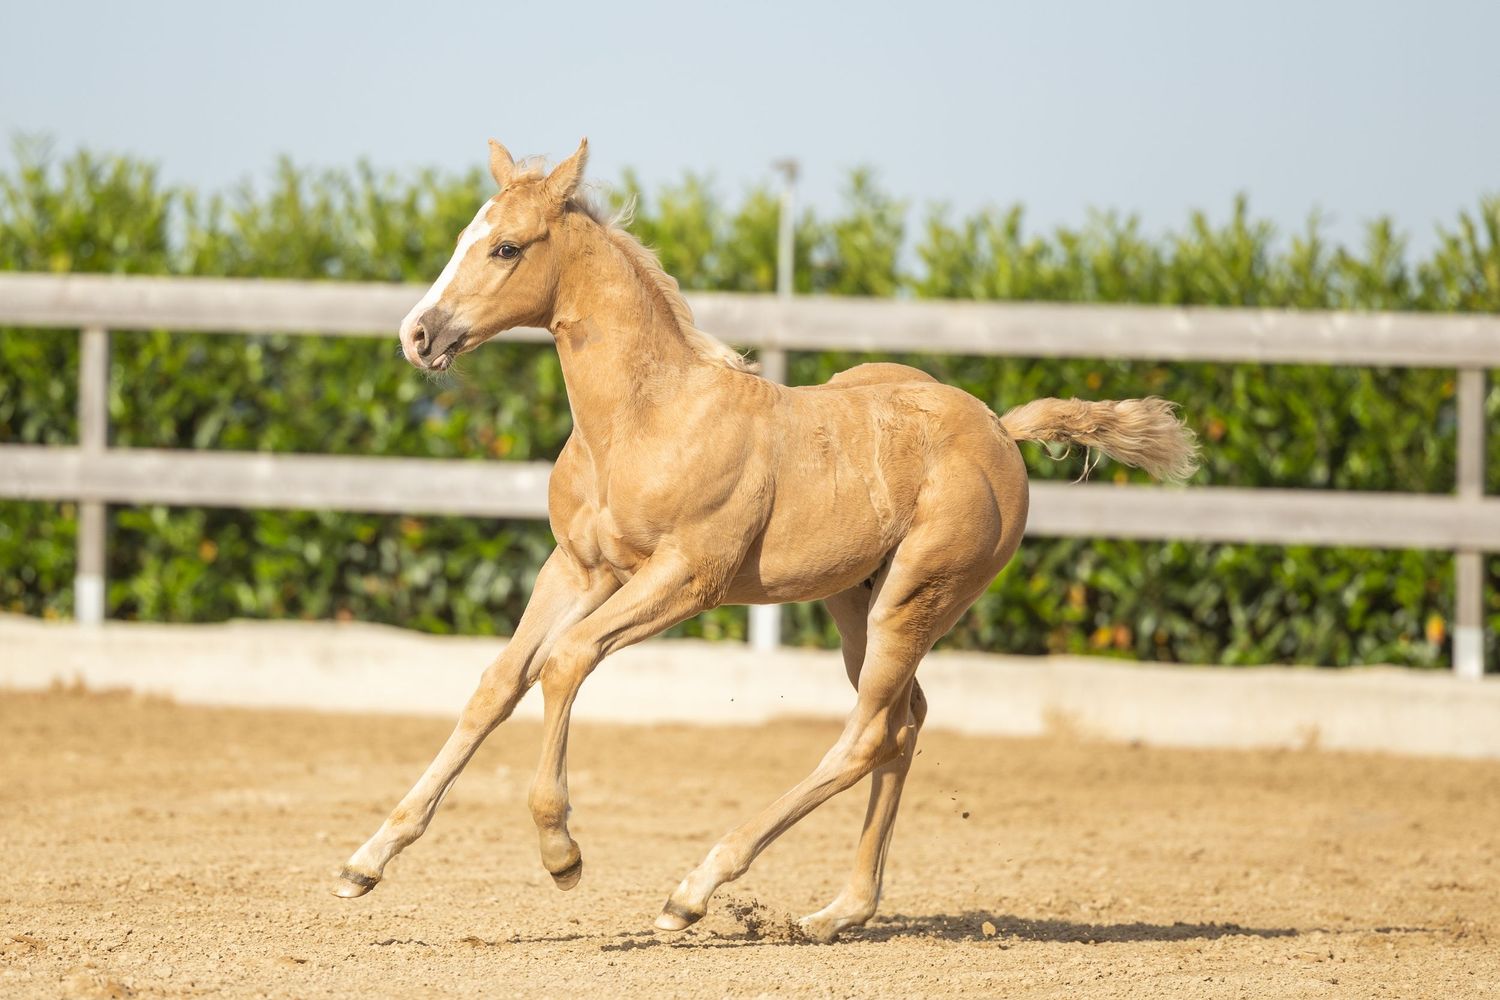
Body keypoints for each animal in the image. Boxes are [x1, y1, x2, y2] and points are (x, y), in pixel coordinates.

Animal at [332, 138, 1199, 942]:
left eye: (507, 247)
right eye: (463, 236)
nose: (418, 334)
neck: (646, 417)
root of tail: (998, 427)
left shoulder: (686, 577)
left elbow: (566, 661)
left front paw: (561, 852)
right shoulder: (577, 569)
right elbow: (499, 683)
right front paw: (365, 862)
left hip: (918, 596)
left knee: (869, 734)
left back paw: (694, 891)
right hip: (857, 604)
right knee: (904, 724)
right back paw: (838, 913)